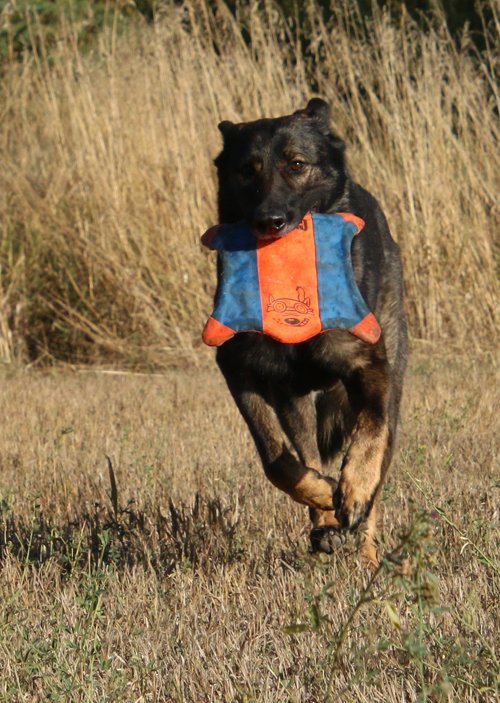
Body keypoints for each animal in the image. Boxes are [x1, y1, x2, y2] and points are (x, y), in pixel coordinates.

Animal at [212, 98, 408, 565]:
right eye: (247, 170)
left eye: (297, 164)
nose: (270, 221)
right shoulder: (241, 370)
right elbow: (277, 461)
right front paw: (323, 496)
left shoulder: (368, 365)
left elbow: (369, 435)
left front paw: (352, 491)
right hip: (294, 400)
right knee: (308, 454)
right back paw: (324, 523)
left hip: (391, 379)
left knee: (378, 460)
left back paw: (366, 549)